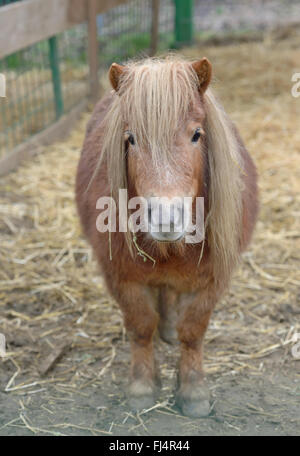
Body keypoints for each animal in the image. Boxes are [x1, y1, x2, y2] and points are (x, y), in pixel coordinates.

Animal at [75, 55, 258, 418]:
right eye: (130, 138)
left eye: (197, 134)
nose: (166, 217)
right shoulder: (123, 277)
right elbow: (141, 327)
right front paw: (142, 386)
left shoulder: (211, 280)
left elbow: (193, 331)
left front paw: (193, 391)